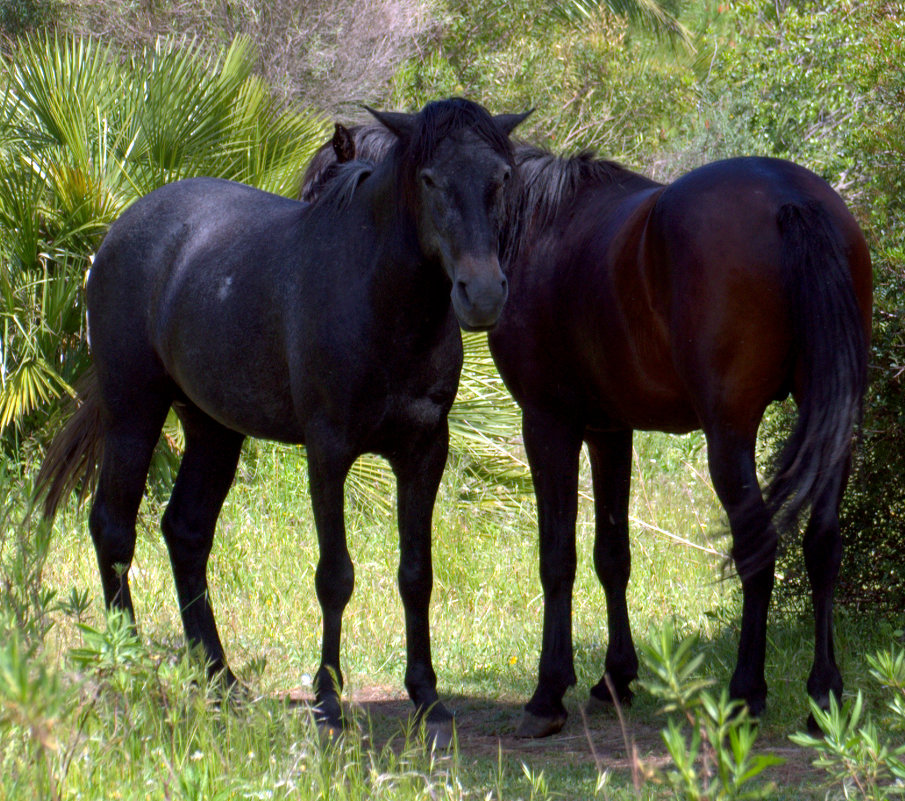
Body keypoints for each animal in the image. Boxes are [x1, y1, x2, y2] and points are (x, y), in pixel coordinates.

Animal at [37, 100, 528, 744]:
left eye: (500, 177)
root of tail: (121, 231)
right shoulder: (328, 451)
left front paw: (428, 700)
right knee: (114, 530)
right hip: (133, 409)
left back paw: (220, 679)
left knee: (186, 532)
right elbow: (335, 576)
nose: (484, 294)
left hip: (213, 429)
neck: (379, 303)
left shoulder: (425, 451)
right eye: (429, 179)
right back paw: (134, 670)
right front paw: (328, 702)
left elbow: (416, 574)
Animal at [306, 128, 876, 736]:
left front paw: (549, 693)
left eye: (327, 199)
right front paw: (616, 678)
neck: (531, 225)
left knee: (758, 549)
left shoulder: (548, 423)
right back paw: (825, 693)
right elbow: (612, 555)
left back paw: (746, 692)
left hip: (730, 438)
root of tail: (791, 197)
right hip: (832, 425)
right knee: (823, 545)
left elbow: (558, 556)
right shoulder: (610, 431)